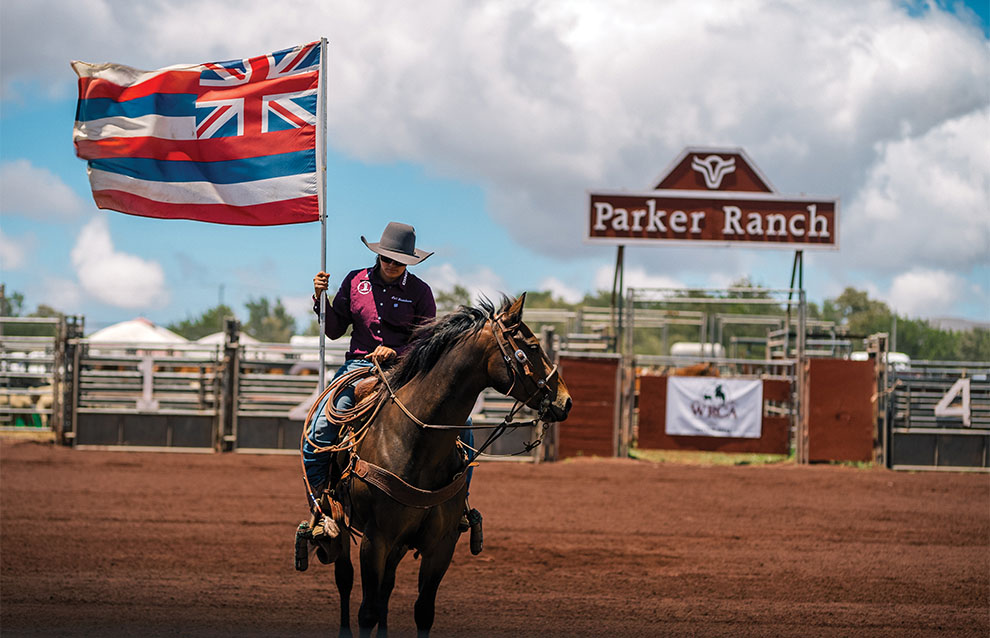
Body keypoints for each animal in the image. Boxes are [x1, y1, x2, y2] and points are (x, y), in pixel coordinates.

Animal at [315, 293, 571, 637]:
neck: (415, 441)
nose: (565, 401)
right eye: (530, 345)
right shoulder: (375, 539)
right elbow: (366, 611)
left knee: (387, 588)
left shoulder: (441, 544)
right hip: (341, 525)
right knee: (345, 580)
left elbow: (423, 611)